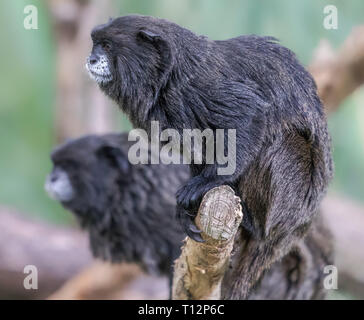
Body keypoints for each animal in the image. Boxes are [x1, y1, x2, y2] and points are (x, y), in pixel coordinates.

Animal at [84, 15, 332, 300]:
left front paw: (207, 184)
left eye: (107, 46)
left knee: (282, 143)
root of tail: (293, 230)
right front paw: (185, 210)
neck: (167, 79)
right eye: (95, 44)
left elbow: (251, 113)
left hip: (288, 201)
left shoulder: (201, 88)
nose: (92, 59)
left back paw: (252, 223)